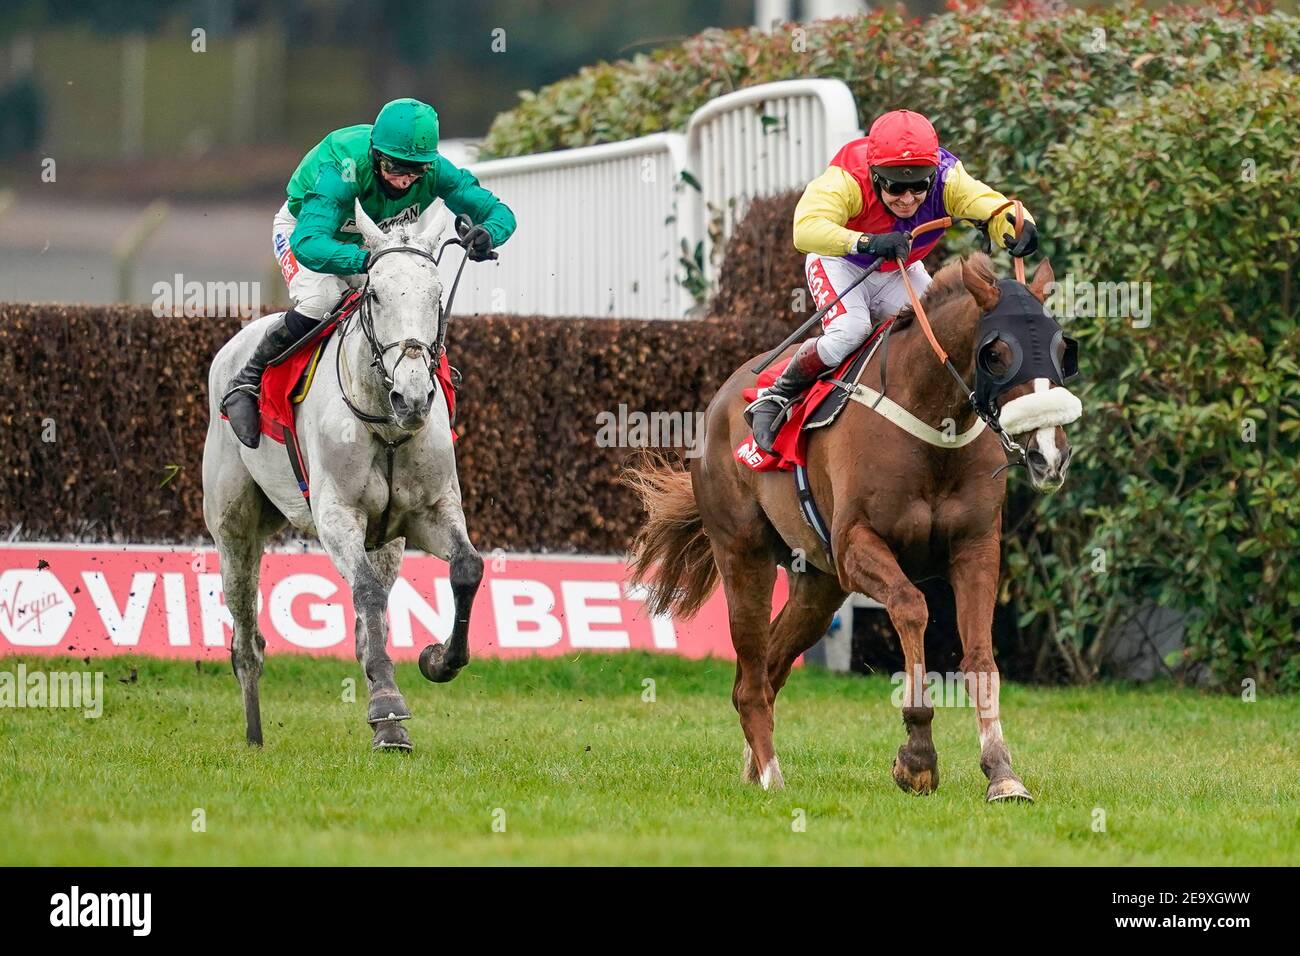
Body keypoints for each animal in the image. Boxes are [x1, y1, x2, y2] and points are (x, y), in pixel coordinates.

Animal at [200, 200, 486, 754]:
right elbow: (367, 594)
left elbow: (466, 569)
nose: (413, 398)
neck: (385, 420)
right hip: (234, 528)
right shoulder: (336, 516)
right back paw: (254, 734)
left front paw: (436, 660)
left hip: (387, 542)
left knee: (368, 619)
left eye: (437, 294)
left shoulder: (430, 512)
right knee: (246, 640)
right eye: (375, 294)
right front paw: (388, 704)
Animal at [624, 252, 1081, 801]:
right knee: (751, 679)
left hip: (818, 587)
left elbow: (980, 656)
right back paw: (772, 775)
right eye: (996, 353)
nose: (1048, 455)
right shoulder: (855, 545)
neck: (931, 423)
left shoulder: (976, 547)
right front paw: (918, 757)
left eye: (1062, 349)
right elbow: (911, 607)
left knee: (768, 671)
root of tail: (721, 402)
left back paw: (754, 766)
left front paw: (1002, 772)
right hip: (743, 554)